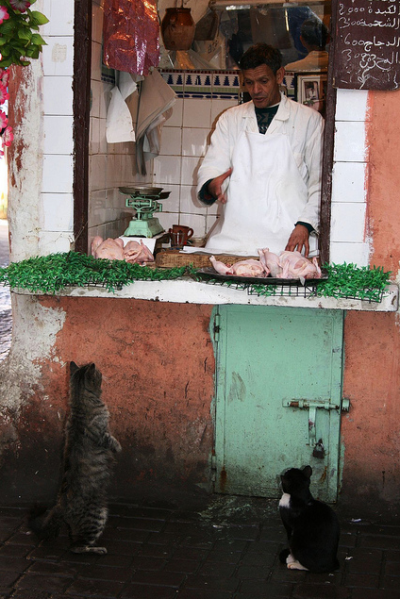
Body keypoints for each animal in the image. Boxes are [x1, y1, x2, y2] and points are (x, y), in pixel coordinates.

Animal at [29, 360, 121, 552]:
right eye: (99, 373)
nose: (102, 371)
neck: (79, 402)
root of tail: (60, 505)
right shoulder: (102, 433)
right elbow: (111, 440)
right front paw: (118, 447)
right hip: (98, 516)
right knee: (77, 546)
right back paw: (97, 549)